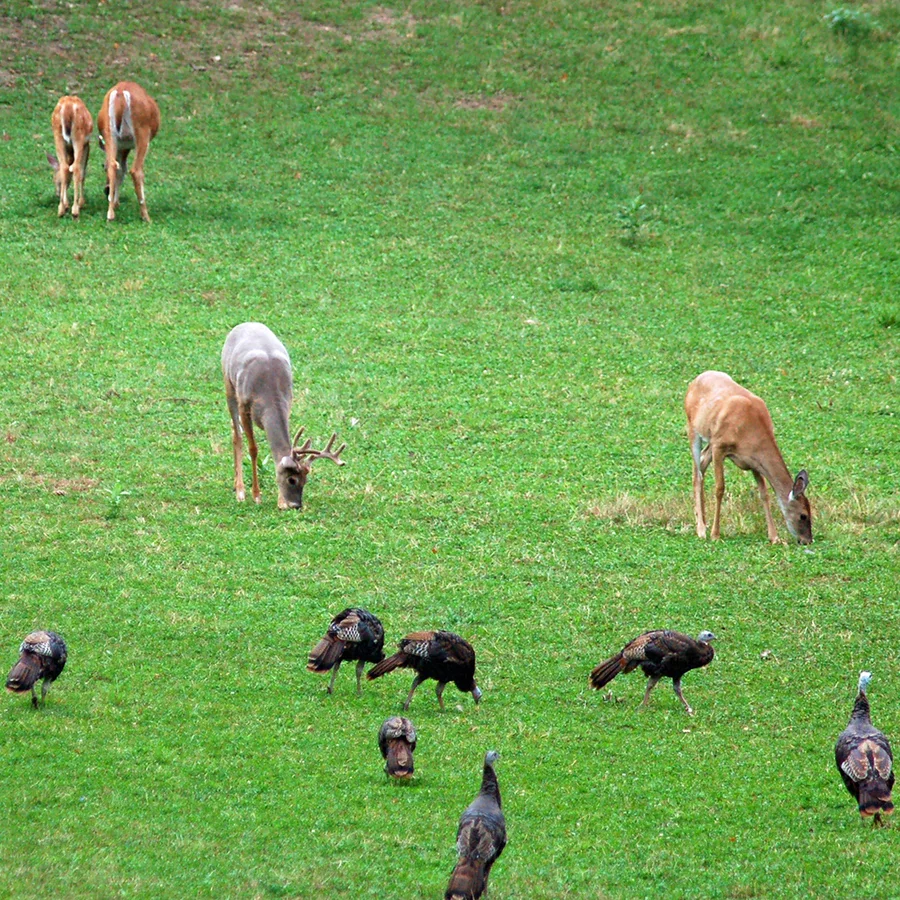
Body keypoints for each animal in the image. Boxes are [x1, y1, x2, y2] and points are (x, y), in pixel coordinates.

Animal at [96, 81, 160, 222]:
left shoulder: (122, 146)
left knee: (114, 165)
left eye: (102, 166)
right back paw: (146, 216)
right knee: (136, 170)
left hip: (109, 131)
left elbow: (121, 169)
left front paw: (115, 203)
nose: (106, 190)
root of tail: (120, 93)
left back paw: (110, 214)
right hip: (142, 131)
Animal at [222, 322, 346, 509]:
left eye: (305, 480)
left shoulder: (289, 402)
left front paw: (281, 502)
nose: (296, 505)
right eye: (292, 479)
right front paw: (256, 495)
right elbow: (253, 449)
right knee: (237, 434)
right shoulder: (244, 404)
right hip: (229, 385)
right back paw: (240, 490)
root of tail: (245, 324)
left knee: (233, 428)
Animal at [685, 370, 811, 545]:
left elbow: (764, 493)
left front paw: (774, 536)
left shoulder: (753, 460)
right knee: (697, 474)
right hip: (693, 428)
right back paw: (701, 529)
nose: (808, 540)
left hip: (710, 440)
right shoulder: (720, 446)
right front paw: (715, 534)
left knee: (702, 463)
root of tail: (695, 380)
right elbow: (720, 488)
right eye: (803, 515)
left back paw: (703, 520)